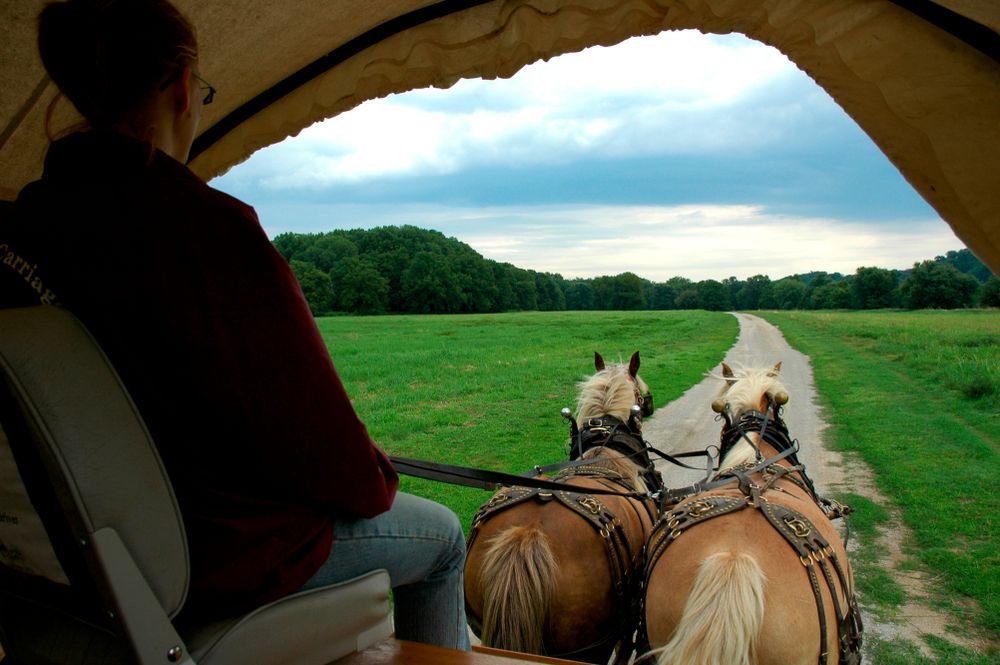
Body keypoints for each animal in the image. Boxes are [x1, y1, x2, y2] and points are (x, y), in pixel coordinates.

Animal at [464, 351, 662, 665]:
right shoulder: (628, 621)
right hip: (588, 647)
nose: (651, 403)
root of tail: (527, 535)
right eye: (640, 388)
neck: (606, 453)